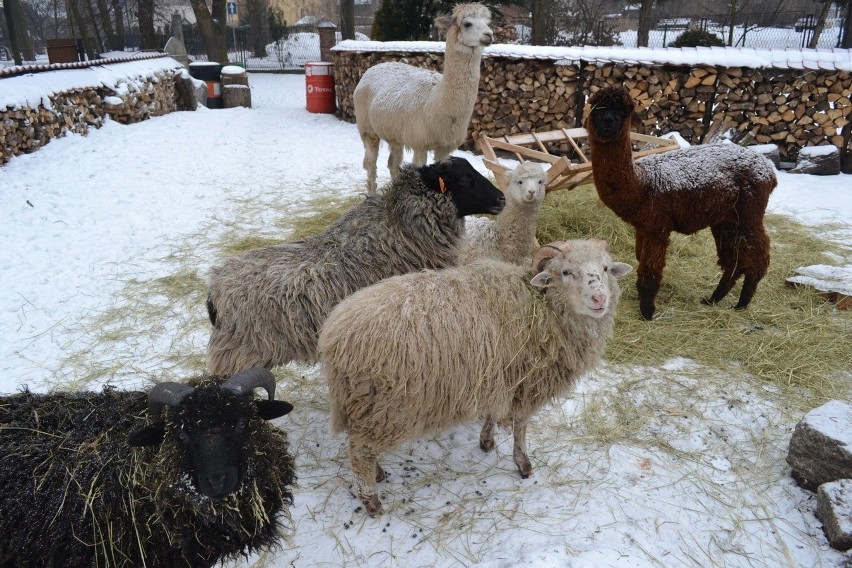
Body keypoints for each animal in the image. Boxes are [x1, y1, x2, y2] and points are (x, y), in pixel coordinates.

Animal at [320, 237, 632, 512]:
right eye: (566, 271)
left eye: (605, 268)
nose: (600, 298)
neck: (540, 305)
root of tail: (333, 336)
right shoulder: (527, 384)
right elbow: (520, 426)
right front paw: (523, 464)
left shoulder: (499, 377)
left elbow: (493, 413)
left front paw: (486, 441)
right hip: (382, 407)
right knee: (359, 452)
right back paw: (371, 500)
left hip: (367, 407)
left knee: (360, 446)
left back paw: (378, 473)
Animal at [352, 1, 492, 193]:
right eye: (467, 24)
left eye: (488, 22)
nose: (489, 35)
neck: (437, 101)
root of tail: (372, 69)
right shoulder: (420, 142)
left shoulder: (444, 146)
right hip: (367, 128)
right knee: (371, 164)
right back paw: (372, 193)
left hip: (395, 132)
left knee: (393, 163)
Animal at [584, 86, 780, 322]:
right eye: (596, 107)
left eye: (624, 112)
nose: (608, 121)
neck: (642, 185)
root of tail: (769, 169)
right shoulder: (642, 227)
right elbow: (640, 260)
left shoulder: (657, 227)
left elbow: (650, 271)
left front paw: (647, 312)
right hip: (725, 221)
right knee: (733, 260)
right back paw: (714, 299)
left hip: (749, 215)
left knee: (758, 256)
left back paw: (742, 303)